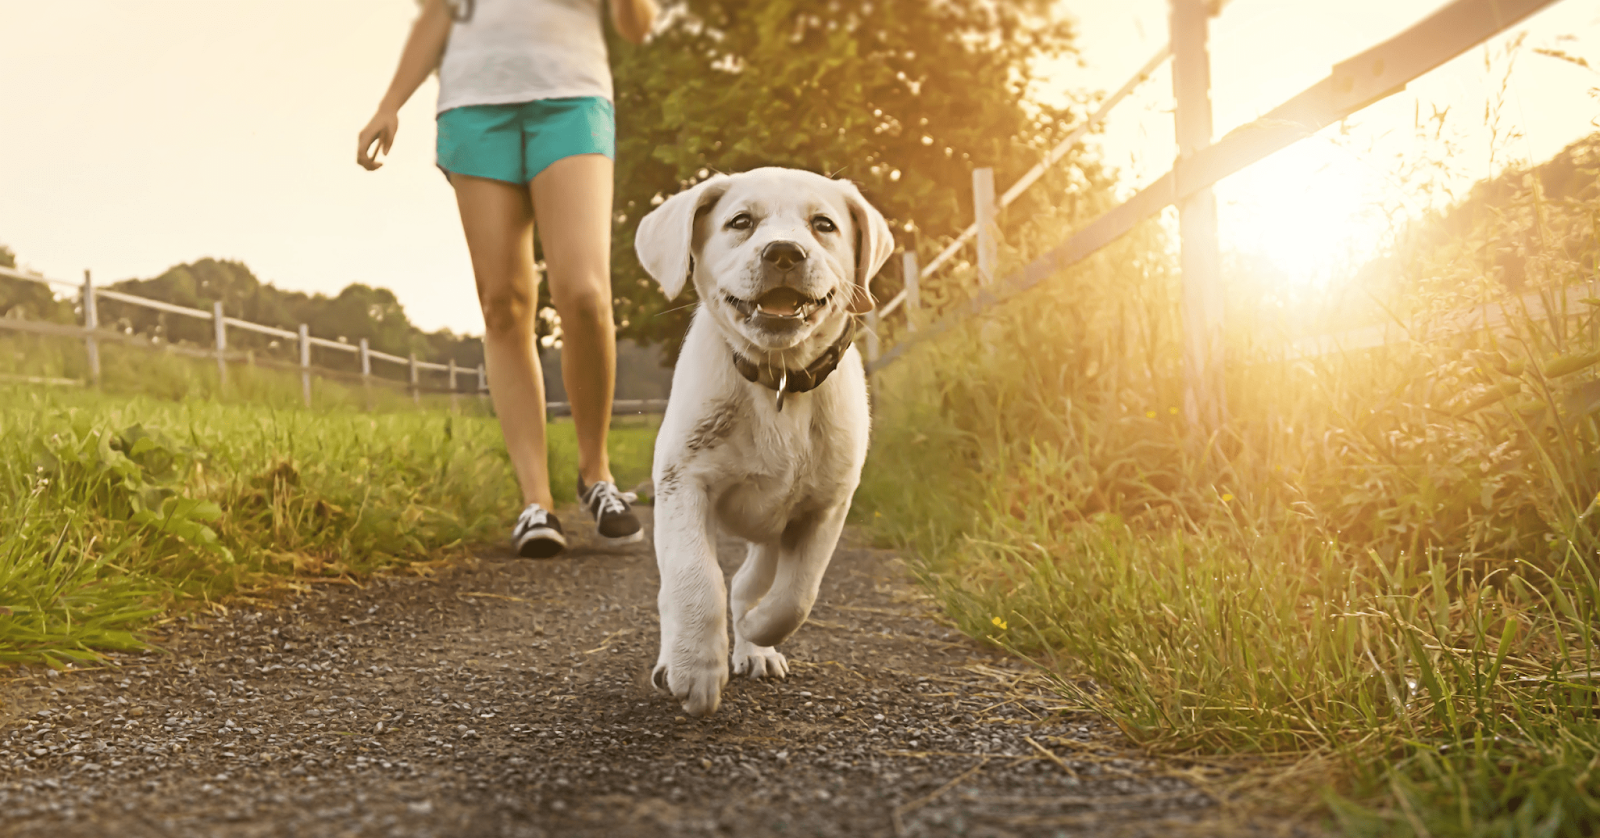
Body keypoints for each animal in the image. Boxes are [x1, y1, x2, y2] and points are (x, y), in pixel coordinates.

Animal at [633, 167, 896, 716]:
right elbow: (696, 578)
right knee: (689, 588)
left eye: (824, 224)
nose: (784, 252)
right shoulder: (681, 484)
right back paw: (676, 659)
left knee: (749, 583)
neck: (778, 380)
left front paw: (758, 631)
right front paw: (696, 669)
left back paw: (754, 647)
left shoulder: (825, 509)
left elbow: (797, 595)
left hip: (772, 536)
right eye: (740, 222)